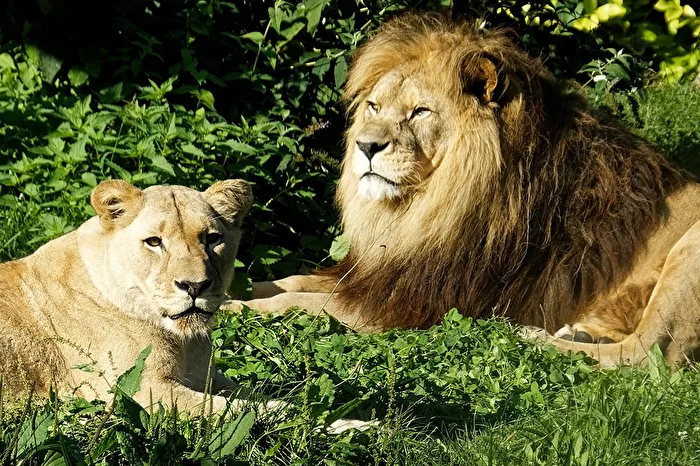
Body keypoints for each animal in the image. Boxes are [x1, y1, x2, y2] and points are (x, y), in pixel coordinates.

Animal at [230, 13, 700, 368]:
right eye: (374, 107)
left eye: (420, 112)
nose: (365, 146)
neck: (423, 210)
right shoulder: (379, 276)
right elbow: (289, 281)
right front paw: (234, 288)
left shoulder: (410, 305)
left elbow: (296, 304)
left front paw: (231, 310)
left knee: (643, 355)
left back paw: (526, 334)